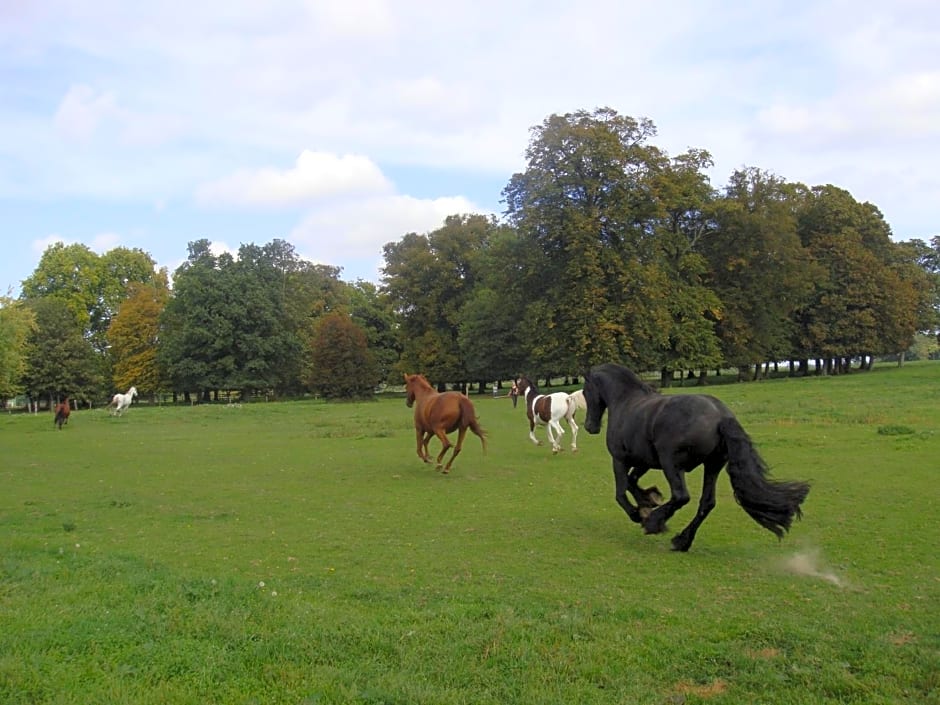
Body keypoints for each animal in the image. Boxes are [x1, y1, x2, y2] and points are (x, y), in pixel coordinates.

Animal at [580, 364, 808, 552]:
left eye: (584, 391)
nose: (589, 427)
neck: (626, 401)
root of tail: (721, 416)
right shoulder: (644, 462)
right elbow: (632, 481)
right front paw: (648, 499)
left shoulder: (619, 459)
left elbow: (620, 492)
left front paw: (639, 513)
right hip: (712, 465)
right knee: (706, 503)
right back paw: (681, 541)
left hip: (671, 464)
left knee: (681, 496)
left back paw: (654, 523)